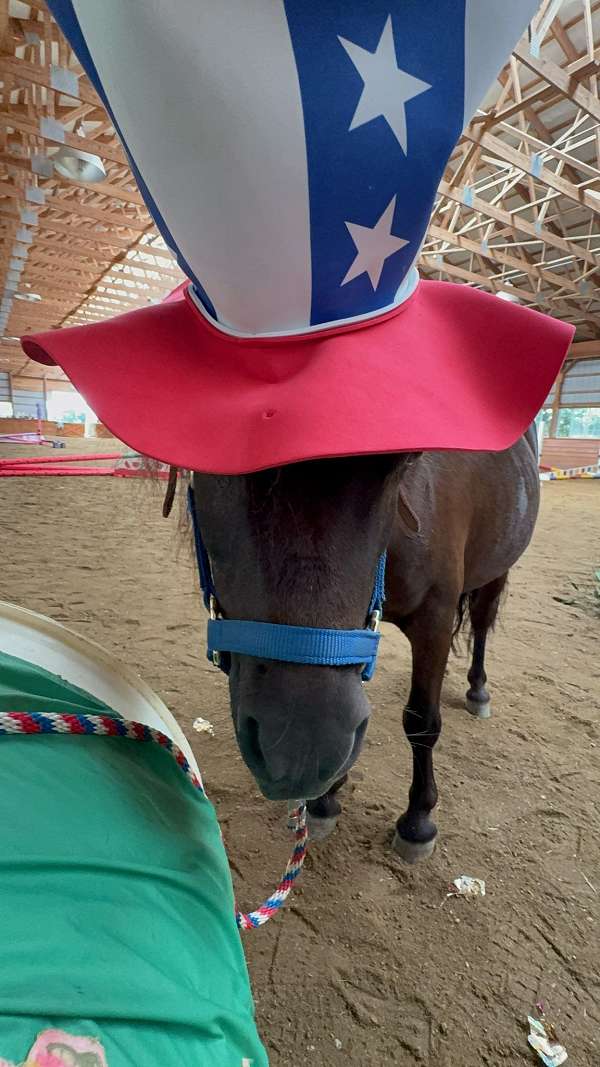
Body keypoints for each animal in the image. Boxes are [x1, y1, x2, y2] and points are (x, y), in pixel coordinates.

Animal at [191, 425, 539, 861]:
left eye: (403, 463)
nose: (299, 748)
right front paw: (325, 799)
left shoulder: (435, 620)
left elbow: (422, 721)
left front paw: (417, 821)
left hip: (496, 570)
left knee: (481, 625)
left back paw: (478, 689)